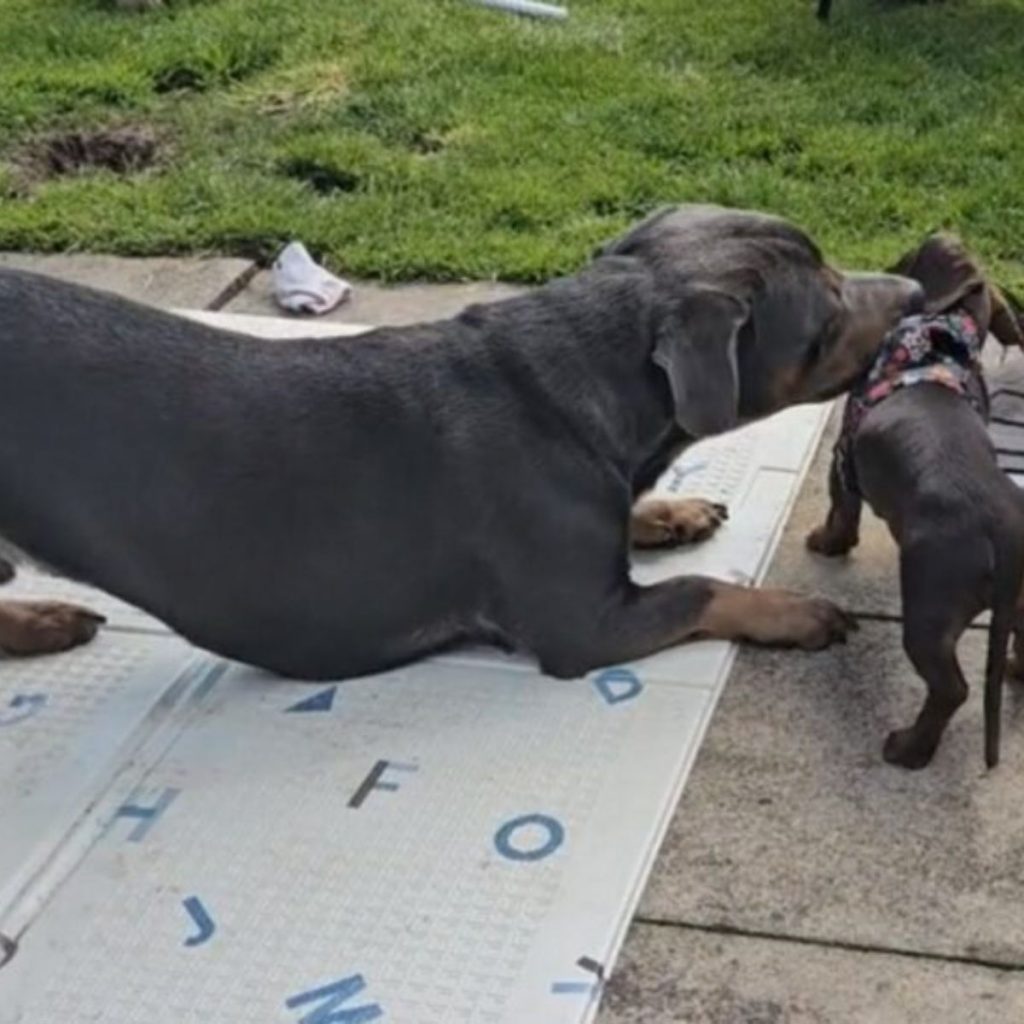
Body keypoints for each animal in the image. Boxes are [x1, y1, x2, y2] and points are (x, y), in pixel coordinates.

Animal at [0, 203, 921, 675]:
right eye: (826, 318)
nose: (915, 291)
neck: (575, 384)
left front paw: (667, 510)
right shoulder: (583, 624)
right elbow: (704, 592)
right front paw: (796, 611)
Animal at [806, 232, 1024, 770]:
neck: (936, 344)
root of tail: (1003, 537)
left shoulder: (843, 458)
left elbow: (841, 512)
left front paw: (824, 543)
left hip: (928, 615)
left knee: (951, 690)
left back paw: (908, 749)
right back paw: (1016, 670)